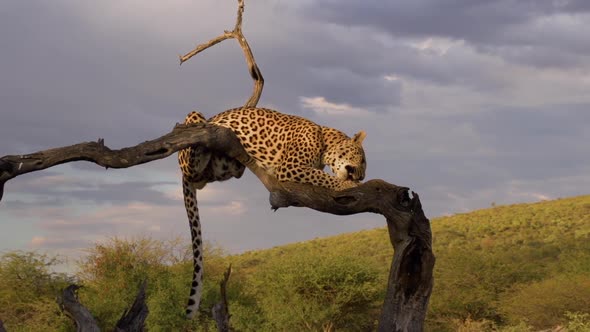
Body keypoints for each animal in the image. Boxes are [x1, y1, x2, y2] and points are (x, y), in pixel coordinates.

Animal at [178, 107, 368, 320]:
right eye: (362, 160)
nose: (363, 176)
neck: (325, 141)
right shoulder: (290, 167)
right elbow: (325, 177)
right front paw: (350, 184)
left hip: (226, 168)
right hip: (192, 128)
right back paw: (209, 130)